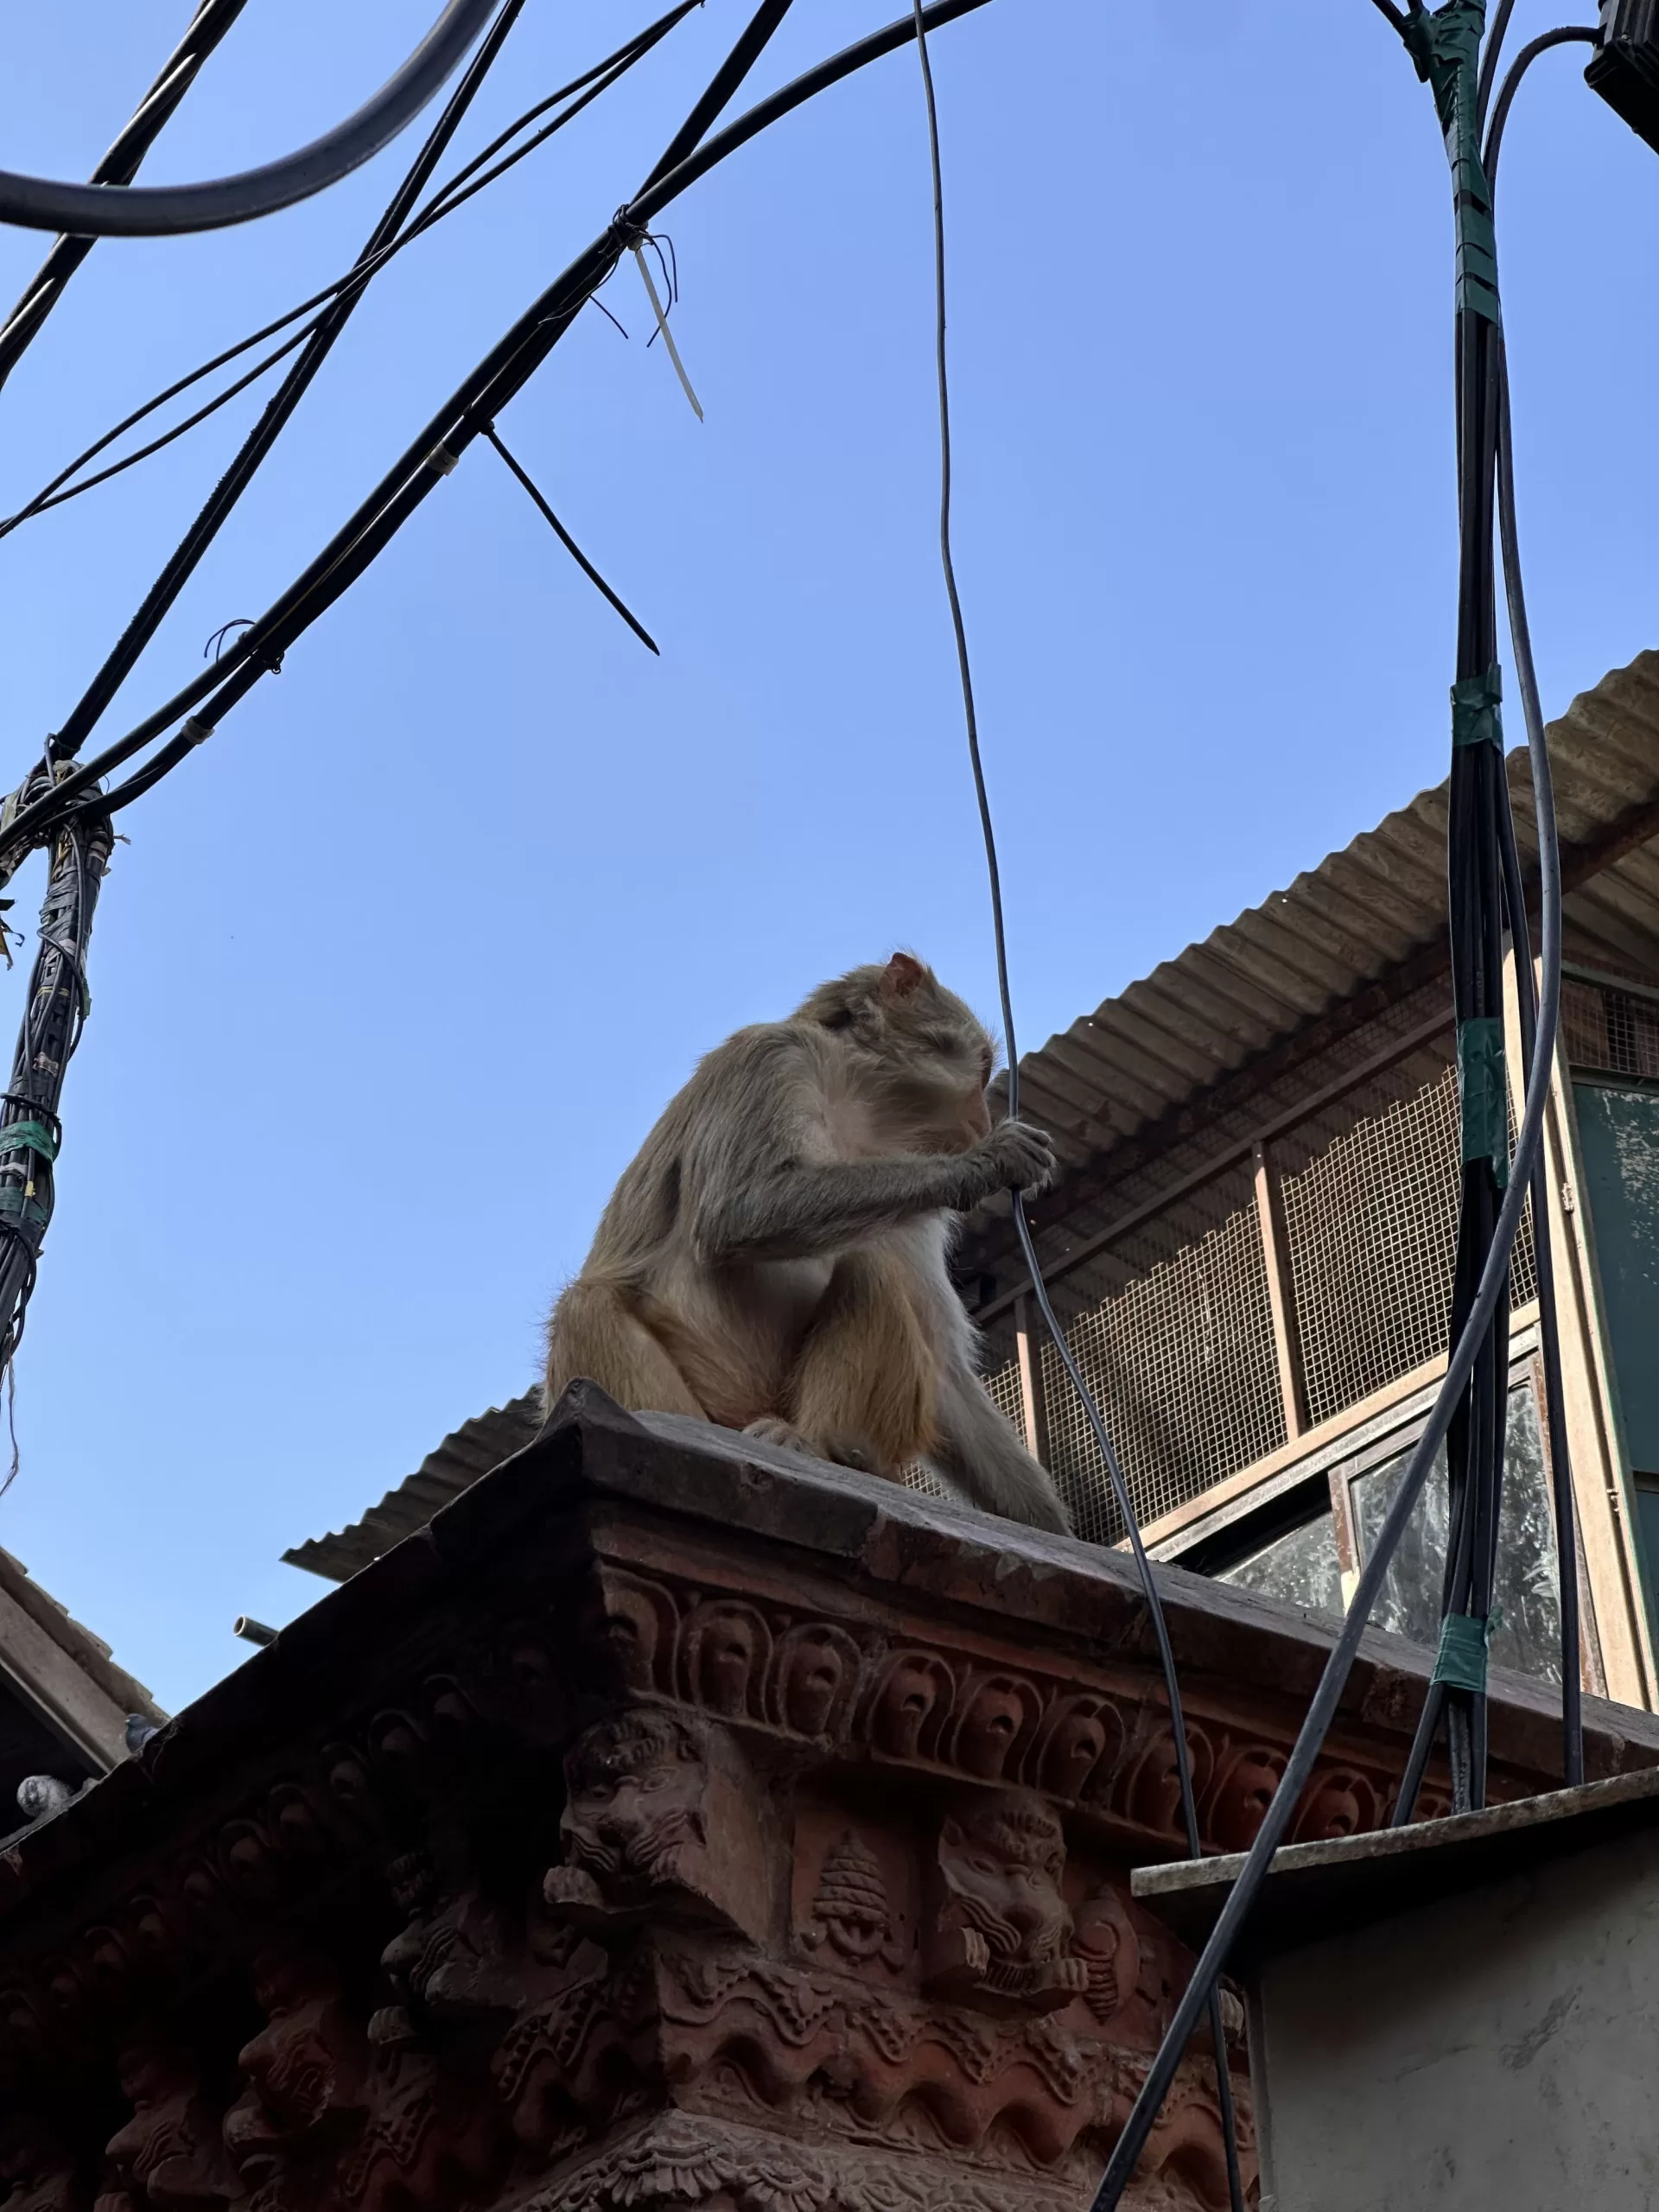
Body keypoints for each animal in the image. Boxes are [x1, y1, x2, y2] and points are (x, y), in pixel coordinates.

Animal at [544, 951, 1069, 1533]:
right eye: (979, 1070)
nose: (981, 1120)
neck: (860, 1106)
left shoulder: (914, 1210)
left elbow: (946, 1371)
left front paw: (1051, 1526)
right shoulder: (772, 1058)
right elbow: (738, 1209)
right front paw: (990, 1160)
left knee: (871, 1265)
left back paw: (828, 1447)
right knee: (584, 1308)